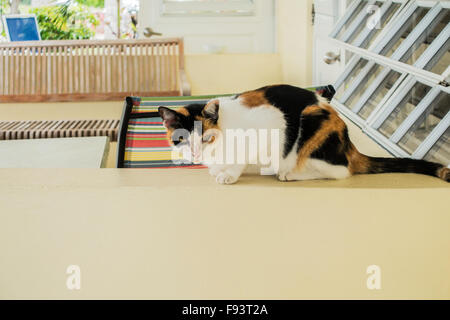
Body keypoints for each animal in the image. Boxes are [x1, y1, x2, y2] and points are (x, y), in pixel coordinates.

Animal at [157, 85, 446, 185]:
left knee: (339, 171)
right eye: (182, 139)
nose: (196, 153)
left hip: (311, 123)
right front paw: (219, 169)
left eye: (206, 138)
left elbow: (240, 160)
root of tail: (349, 145)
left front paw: (229, 175)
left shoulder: (271, 124)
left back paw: (289, 174)